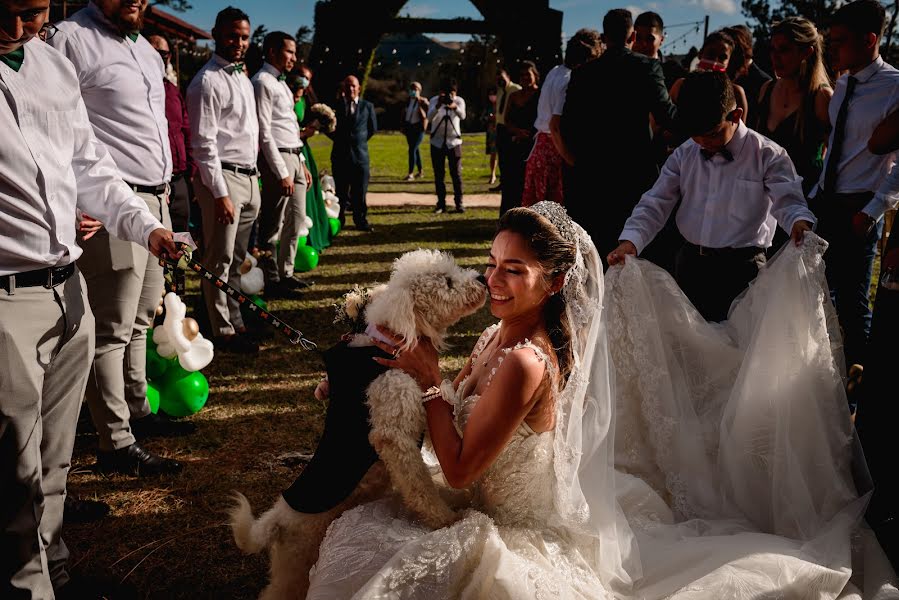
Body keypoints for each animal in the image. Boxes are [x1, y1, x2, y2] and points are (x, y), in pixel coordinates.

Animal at [229, 250, 488, 600]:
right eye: (446, 281)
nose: (483, 278)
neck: (386, 343)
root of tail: (273, 522)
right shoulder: (394, 433)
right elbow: (419, 485)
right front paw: (445, 520)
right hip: (295, 563)